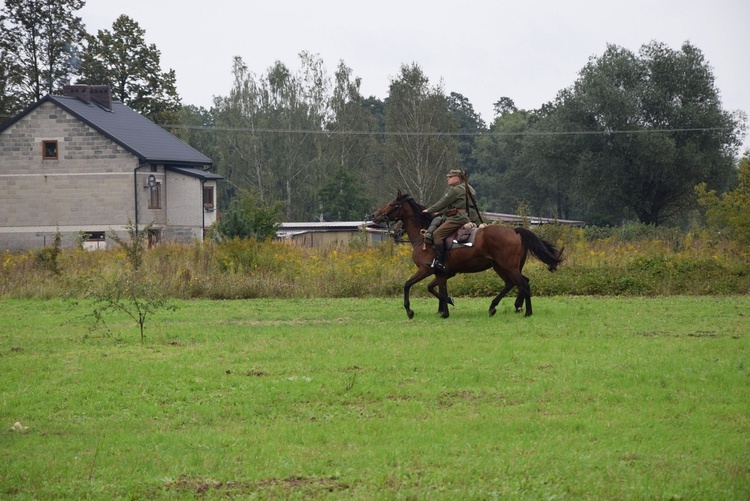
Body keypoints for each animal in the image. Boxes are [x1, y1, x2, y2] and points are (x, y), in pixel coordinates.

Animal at [370, 189, 564, 318]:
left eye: (392, 204)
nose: (374, 215)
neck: (424, 236)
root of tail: (514, 230)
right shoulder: (442, 273)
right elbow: (435, 289)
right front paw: (446, 306)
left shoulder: (427, 270)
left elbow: (408, 284)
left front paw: (411, 310)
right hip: (501, 267)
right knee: (514, 283)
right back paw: (499, 307)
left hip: (507, 266)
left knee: (523, 284)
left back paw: (526, 312)